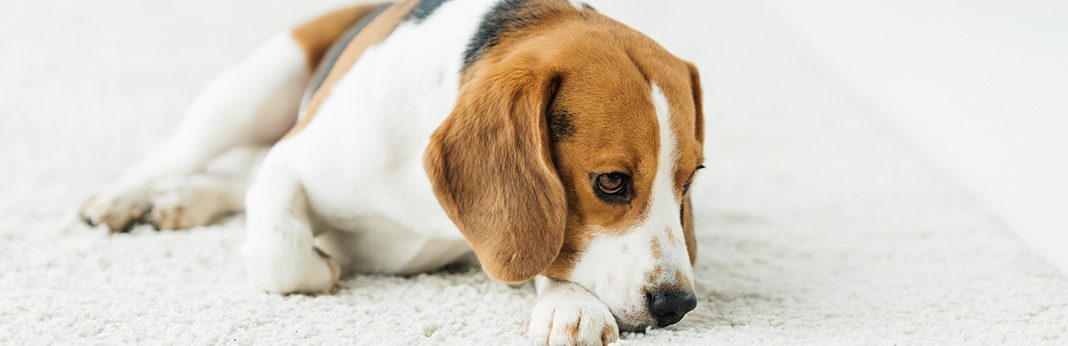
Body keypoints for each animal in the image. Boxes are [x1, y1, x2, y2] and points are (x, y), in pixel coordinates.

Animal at [79, 0, 704, 341]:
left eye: (689, 180)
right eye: (611, 182)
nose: (677, 306)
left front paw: (569, 304)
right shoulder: (292, 161)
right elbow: (281, 252)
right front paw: (324, 266)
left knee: (236, 180)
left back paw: (183, 199)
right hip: (253, 86)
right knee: (180, 153)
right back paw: (124, 197)